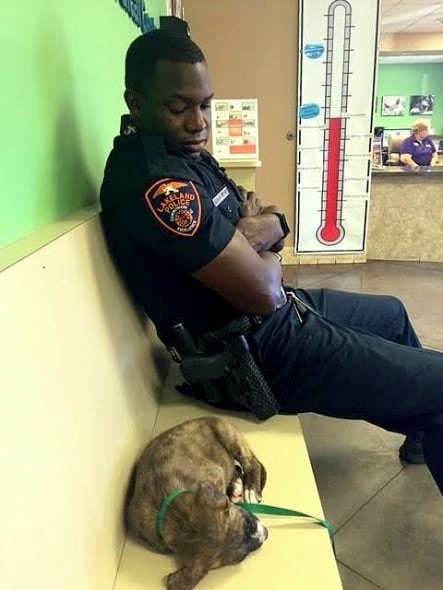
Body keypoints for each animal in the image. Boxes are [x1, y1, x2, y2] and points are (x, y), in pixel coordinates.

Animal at [126, 416, 268, 590]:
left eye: (249, 523)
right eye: (241, 558)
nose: (266, 534)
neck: (176, 515)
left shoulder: (216, 473)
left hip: (228, 433)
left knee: (250, 463)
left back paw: (250, 490)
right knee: (237, 469)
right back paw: (236, 488)